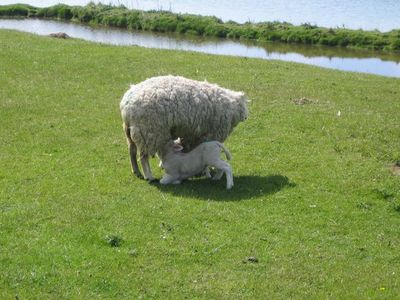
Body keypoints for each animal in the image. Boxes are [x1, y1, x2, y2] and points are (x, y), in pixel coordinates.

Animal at [120, 76, 248, 182]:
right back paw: (149, 176)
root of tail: (126, 105)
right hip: (148, 131)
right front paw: (205, 171)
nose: (246, 116)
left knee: (132, 151)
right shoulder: (208, 135)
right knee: (143, 157)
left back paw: (137, 172)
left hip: (131, 132)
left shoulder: (190, 134)